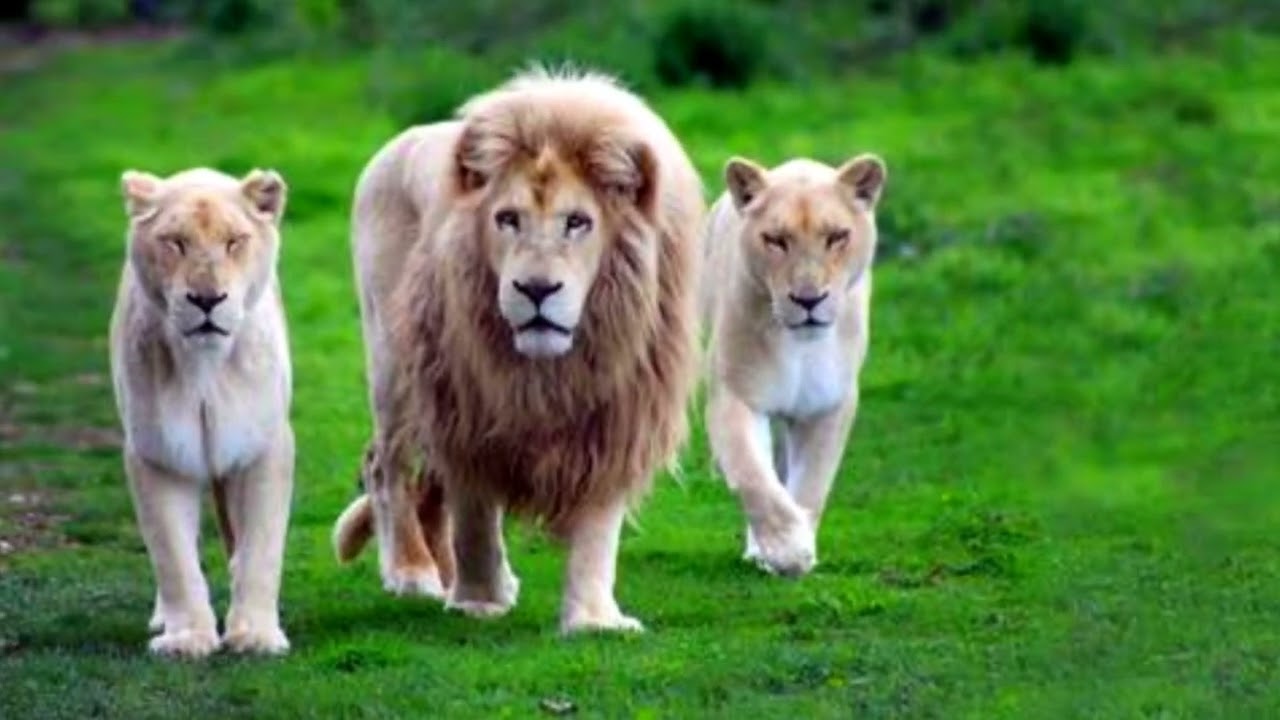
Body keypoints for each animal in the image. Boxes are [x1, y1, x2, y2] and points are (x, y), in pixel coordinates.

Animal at [110, 166, 295, 658]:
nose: (207, 299)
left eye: (234, 241)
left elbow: (261, 546)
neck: (205, 369)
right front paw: (187, 637)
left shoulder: (264, 448)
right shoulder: (158, 453)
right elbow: (172, 554)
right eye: (175, 242)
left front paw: (255, 635)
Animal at [330, 67, 703, 633]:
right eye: (507, 219)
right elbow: (475, 516)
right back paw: (413, 573)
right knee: (385, 464)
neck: (550, 370)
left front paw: (594, 620)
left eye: (578, 221)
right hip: (395, 364)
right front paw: (479, 602)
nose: (535, 289)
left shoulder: (617, 416)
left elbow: (597, 531)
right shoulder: (466, 407)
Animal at [701, 153, 887, 577]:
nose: (808, 299)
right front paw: (787, 549)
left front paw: (799, 549)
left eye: (836, 236)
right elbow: (753, 475)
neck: (799, 346)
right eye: (775, 240)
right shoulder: (735, 397)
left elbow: (811, 484)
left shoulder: (828, 407)